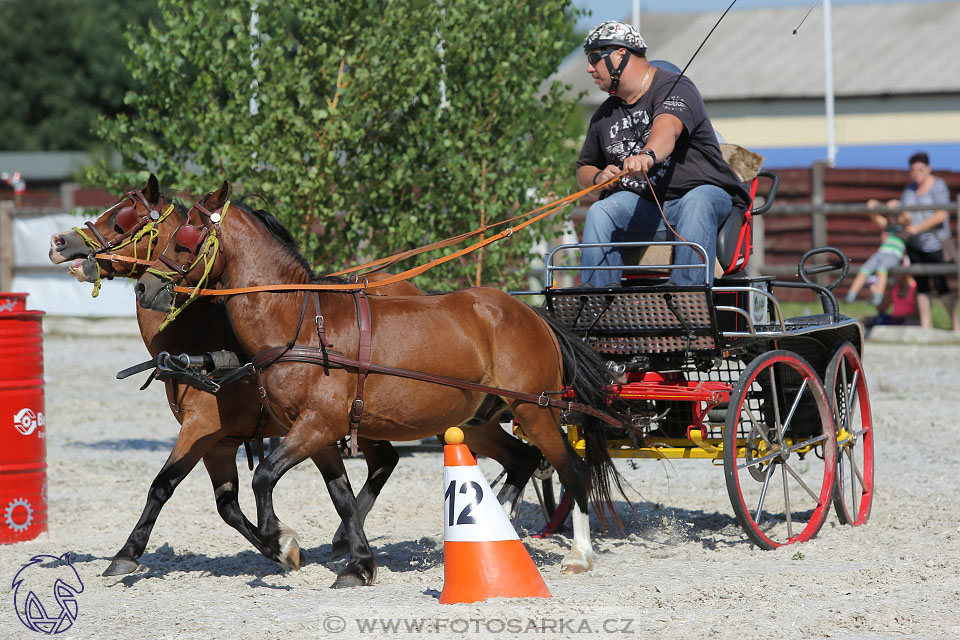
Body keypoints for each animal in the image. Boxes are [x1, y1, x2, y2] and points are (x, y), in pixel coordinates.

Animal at [48, 178, 540, 576]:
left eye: (122, 220)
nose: (59, 241)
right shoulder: (222, 439)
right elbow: (227, 504)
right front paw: (280, 546)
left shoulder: (206, 425)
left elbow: (164, 486)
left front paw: (127, 554)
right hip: (452, 419)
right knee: (475, 459)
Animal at [135, 185, 628, 584]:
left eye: (184, 239)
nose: (144, 289)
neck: (298, 322)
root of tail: (532, 315)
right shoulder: (313, 430)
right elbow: (341, 497)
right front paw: (356, 564)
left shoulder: (317, 425)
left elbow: (264, 477)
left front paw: (282, 542)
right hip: (477, 421)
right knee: (523, 460)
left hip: (536, 409)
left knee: (572, 470)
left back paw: (580, 556)